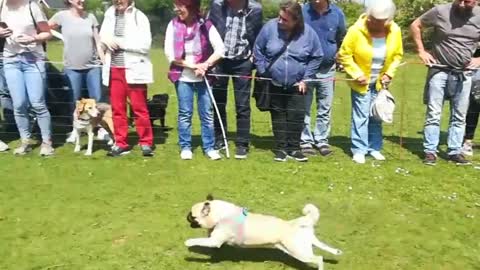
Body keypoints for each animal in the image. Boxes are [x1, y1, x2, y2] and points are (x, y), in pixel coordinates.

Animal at [185, 195, 342, 270]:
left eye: (192, 216)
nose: (186, 217)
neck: (221, 215)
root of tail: (296, 223)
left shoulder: (214, 241)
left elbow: (198, 241)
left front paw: (188, 243)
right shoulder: (214, 239)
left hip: (299, 253)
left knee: (319, 259)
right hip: (301, 249)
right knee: (322, 252)